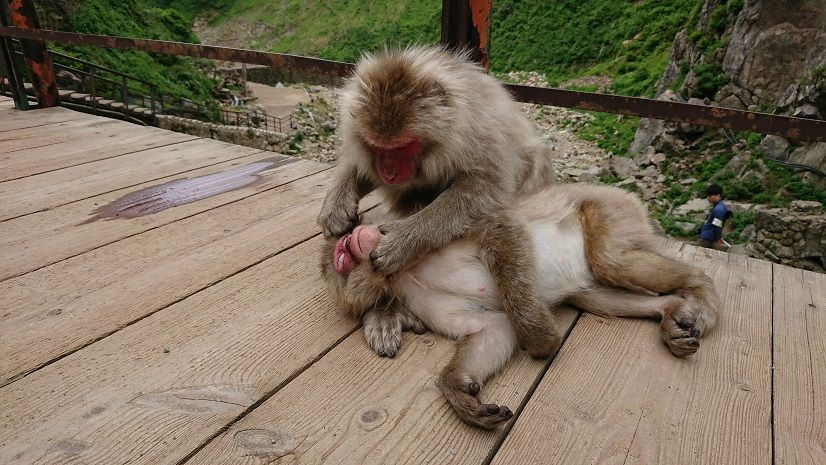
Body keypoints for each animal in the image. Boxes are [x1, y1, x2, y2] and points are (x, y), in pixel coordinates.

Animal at [318, 183, 716, 430]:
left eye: (344, 244)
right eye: (341, 258)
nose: (350, 239)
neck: (406, 271)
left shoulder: (427, 235)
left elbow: (500, 227)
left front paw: (540, 340)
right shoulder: (417, 296)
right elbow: (491, 328)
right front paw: (459, 390)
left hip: (610, 210)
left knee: (612, 260)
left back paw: (701, 291)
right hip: (597, 268)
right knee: (593, 293)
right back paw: (669, 309)